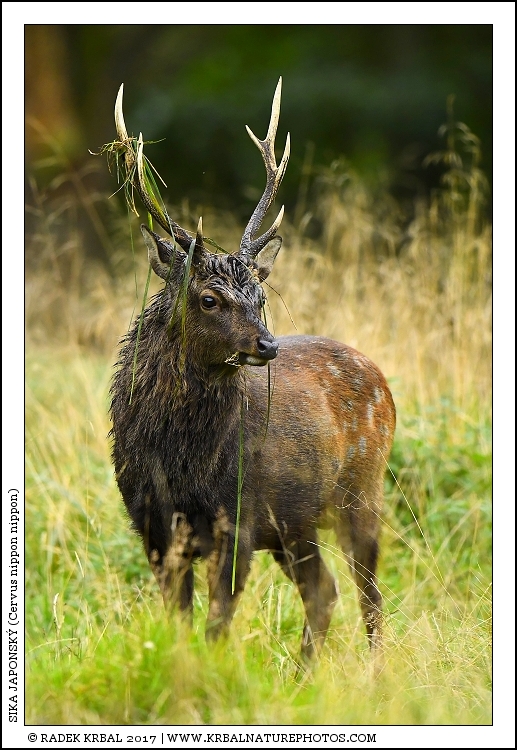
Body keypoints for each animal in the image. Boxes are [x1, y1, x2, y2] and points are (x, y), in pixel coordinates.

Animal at [109, 79, 396, 667]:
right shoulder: (153, 527)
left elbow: (217, 625)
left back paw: (377, 677)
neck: (184, 466)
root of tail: (384, 382)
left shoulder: (237, 520)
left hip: (363, 488)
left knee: (368, 595)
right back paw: (303, 676)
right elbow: (179, 624)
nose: (267, 344)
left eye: (260, 297)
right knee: (324, 591)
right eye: (208, 297)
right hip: (296, 523)